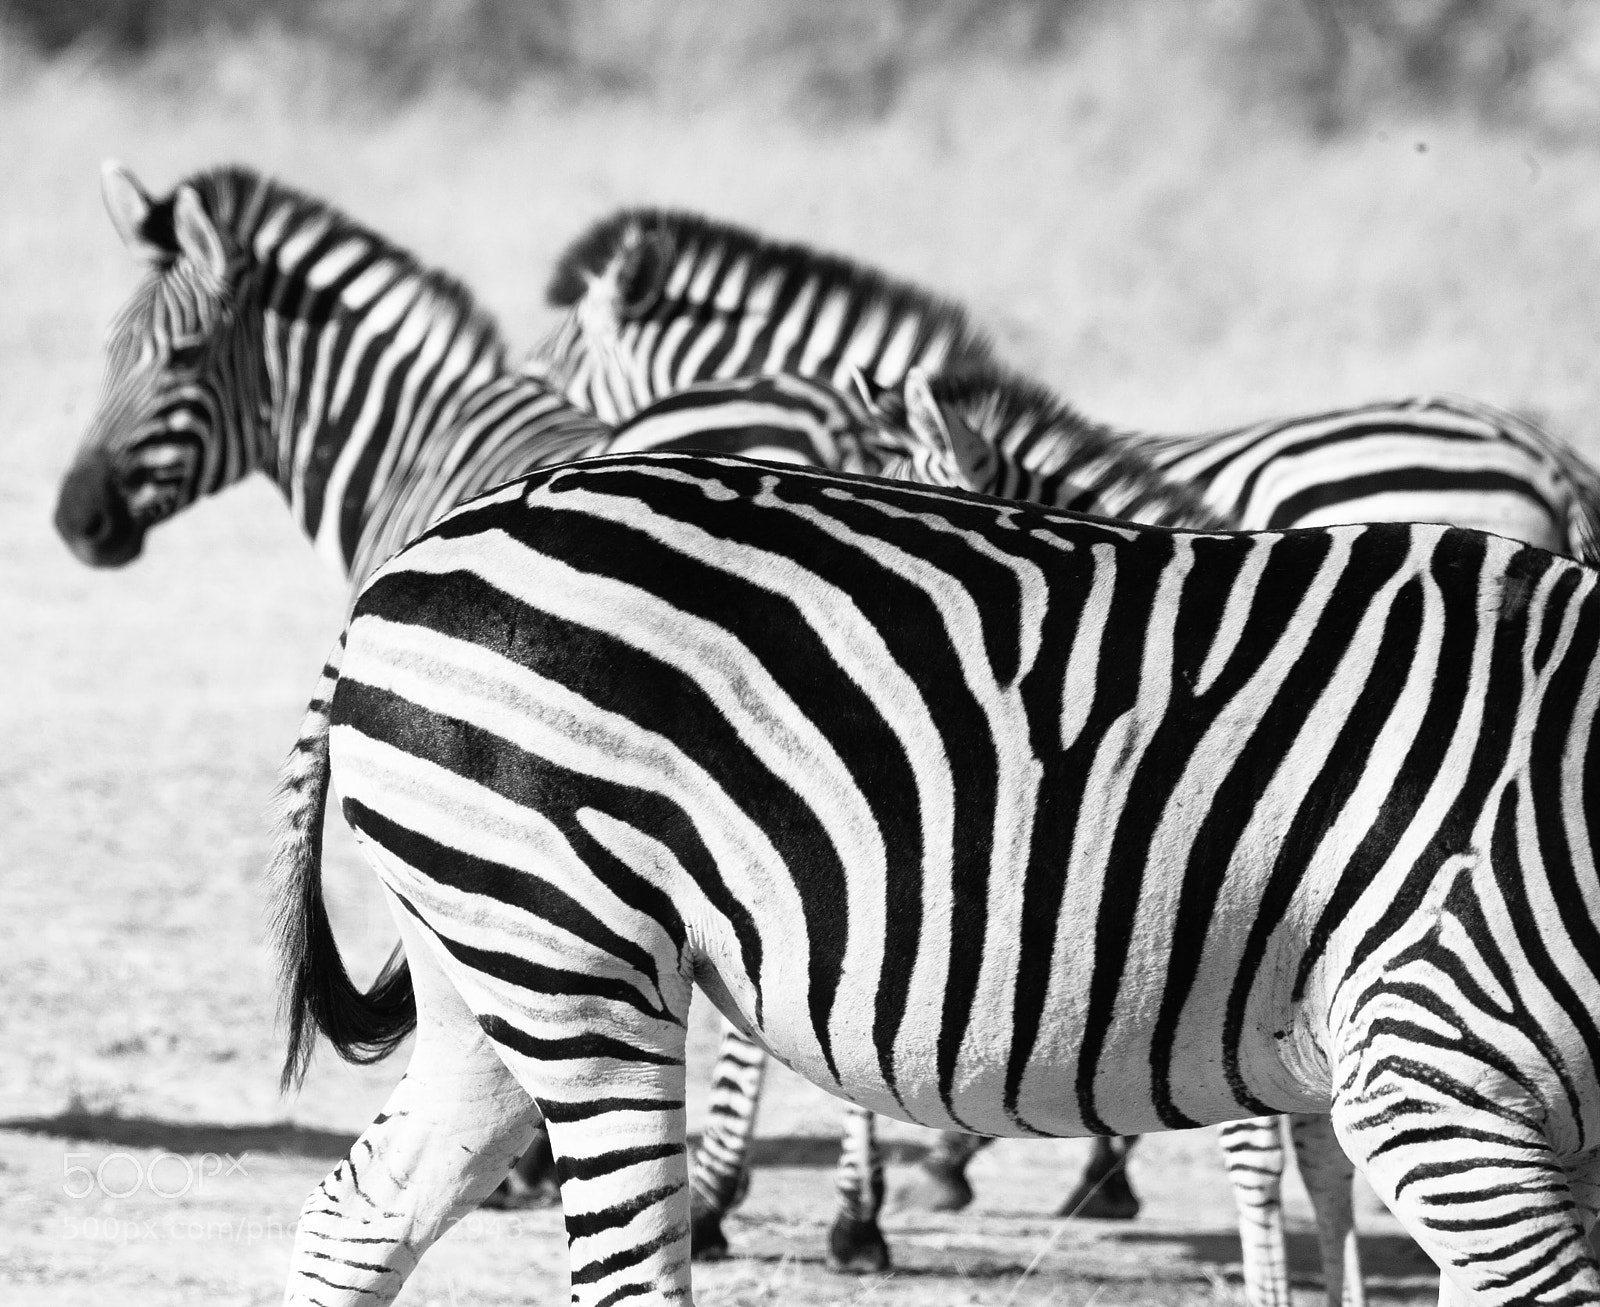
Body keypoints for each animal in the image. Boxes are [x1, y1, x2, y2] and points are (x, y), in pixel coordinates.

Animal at [272, 448, 1600, 1307]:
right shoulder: (1437, 1085)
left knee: (356, 1214)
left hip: (485, 957)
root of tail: (418, 553)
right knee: (622, 1275)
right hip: (567, 951)